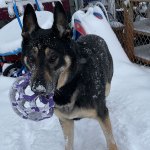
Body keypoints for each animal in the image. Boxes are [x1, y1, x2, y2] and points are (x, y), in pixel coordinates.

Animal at [21, 1, 117, 150]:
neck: (71, 84)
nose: (38, 89)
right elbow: (68, 143)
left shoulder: (102, 115)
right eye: (31, 58)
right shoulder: (65, 121)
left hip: (107, 84)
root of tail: (95, 36)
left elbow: (111, 141)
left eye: (53, 57)